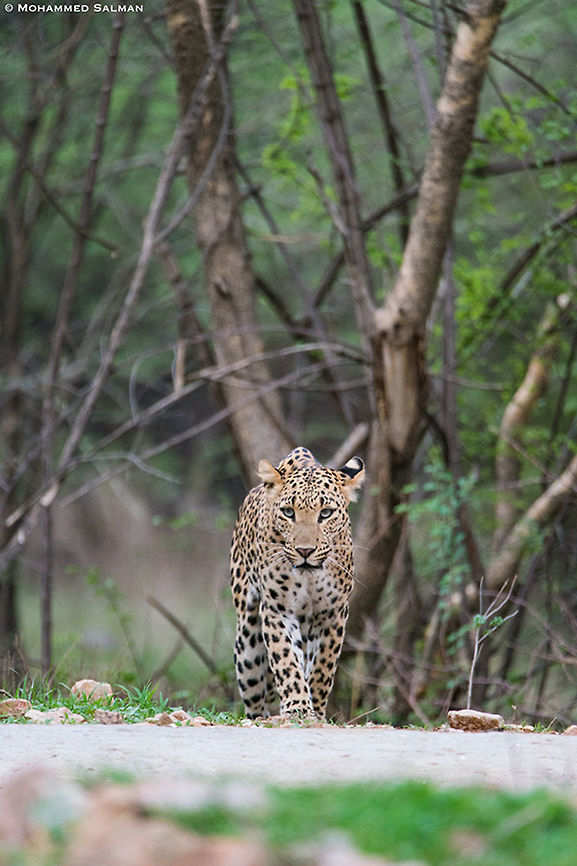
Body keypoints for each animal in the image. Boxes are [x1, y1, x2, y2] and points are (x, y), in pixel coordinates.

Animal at [230, 446, 365, 720]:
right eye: (288, 512)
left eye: (326, 513)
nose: (305, 551)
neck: (309, 579)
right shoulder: (277, 610)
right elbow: (286, 659)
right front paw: (298, 707)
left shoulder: (333, 613)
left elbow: (323, 666)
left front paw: (316, 709)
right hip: (247, 639)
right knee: (254, 689)